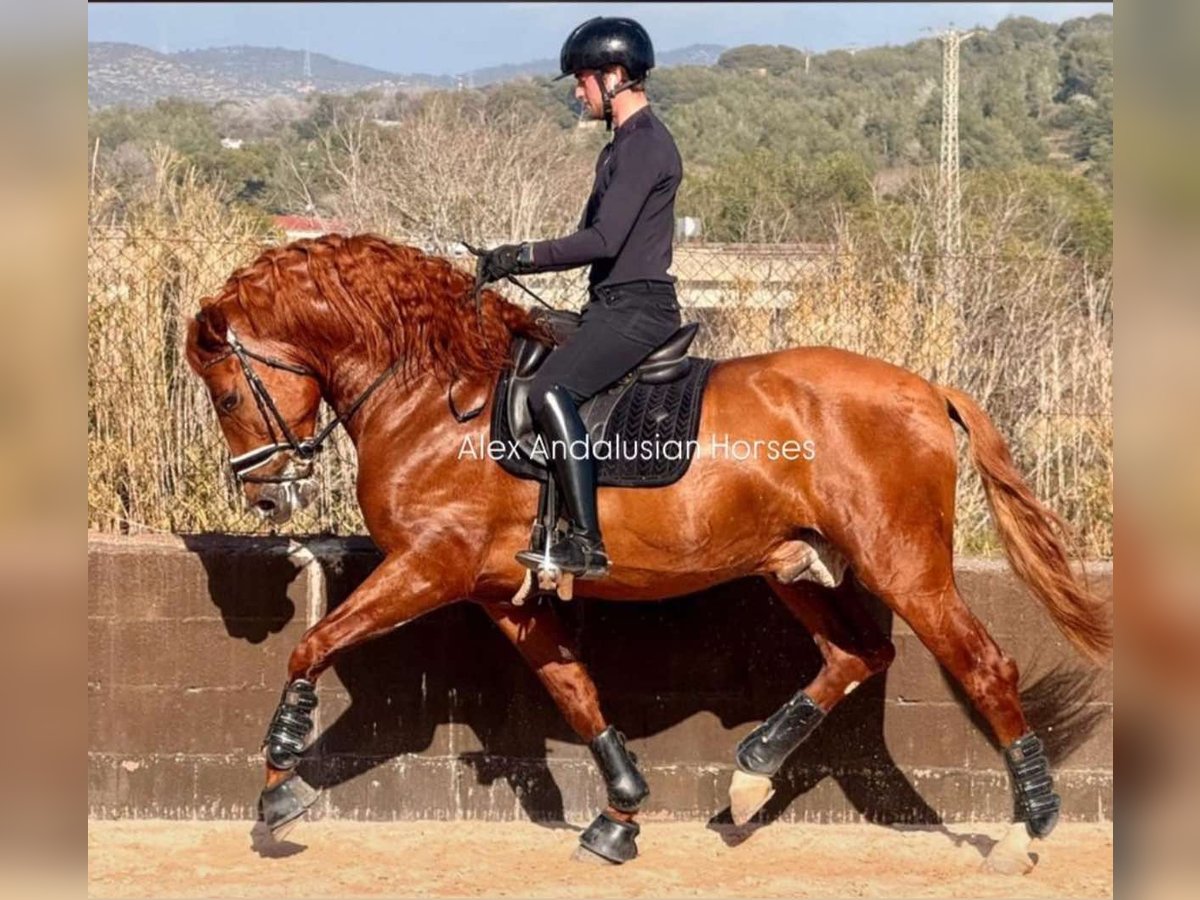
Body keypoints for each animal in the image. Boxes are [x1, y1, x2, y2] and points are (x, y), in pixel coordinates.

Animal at [182, 232, 1108, 873]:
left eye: (225, 394)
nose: (264, 495)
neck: (434, 395)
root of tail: (926, 388)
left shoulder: (428, 566)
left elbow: (313, 643)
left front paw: (280, 789)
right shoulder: (499, 593)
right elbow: (577, 693)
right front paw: (620, 816)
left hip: (905, 567)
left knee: (983, 667)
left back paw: (1026, 829)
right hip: (793, 562)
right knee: (857, 652)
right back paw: (750, 775)